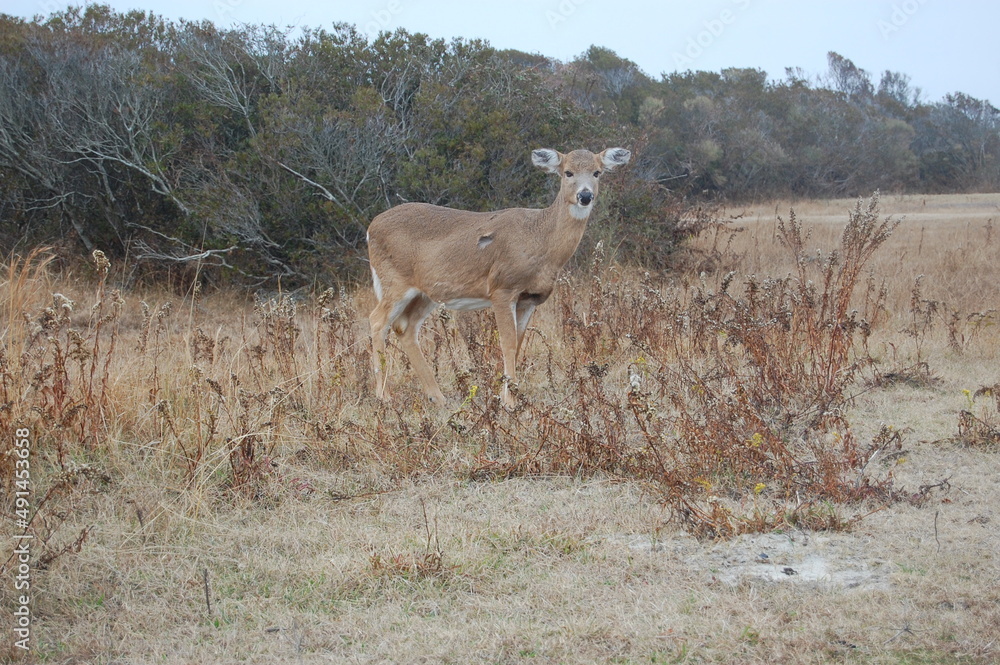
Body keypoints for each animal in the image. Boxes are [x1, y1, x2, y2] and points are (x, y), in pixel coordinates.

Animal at [367, 146, 631, 407]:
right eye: (568, 172)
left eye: (597, 172)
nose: (585, 196)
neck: (540, 240)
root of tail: (371, 228)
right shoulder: (502, 288)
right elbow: (507, 342)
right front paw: (509, 401)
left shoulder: (529, 299)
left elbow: (519, 343)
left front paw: (509, 394)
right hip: (395, 280)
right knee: (377, 320)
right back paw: (383, 395)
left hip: (426, 293)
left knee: (405, 327)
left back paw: (437, 396)